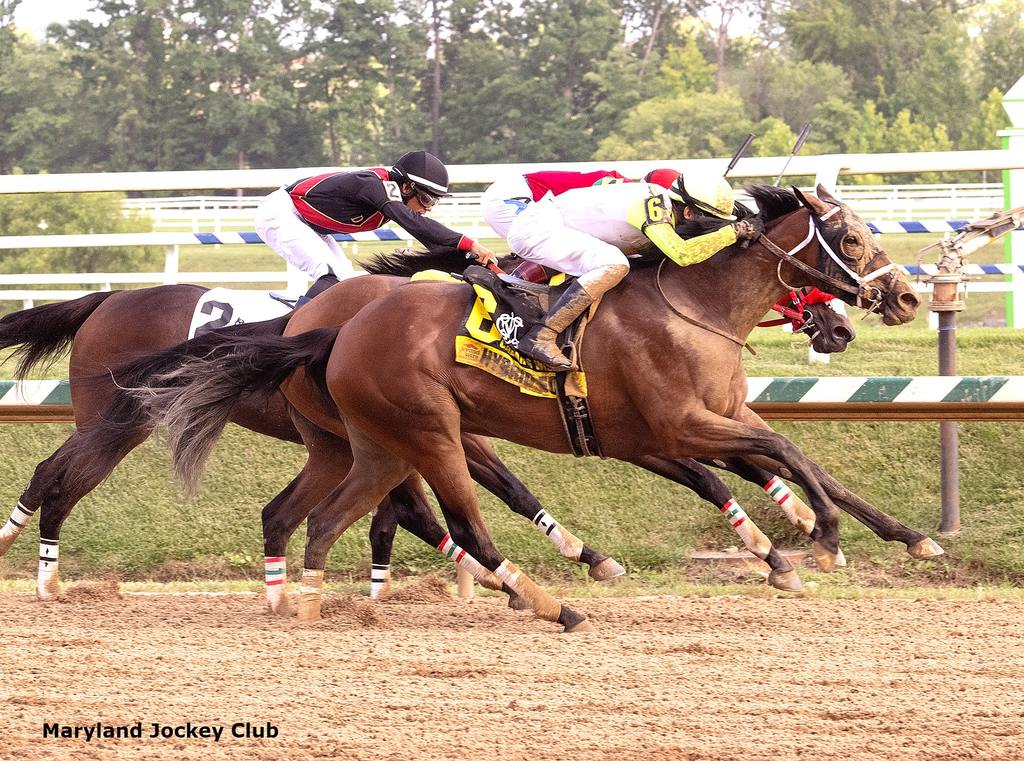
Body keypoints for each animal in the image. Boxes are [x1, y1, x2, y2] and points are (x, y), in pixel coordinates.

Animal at [0, 262, 847, 602]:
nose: (840, 323)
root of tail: (106, 297)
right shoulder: (447, 428)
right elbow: (467, 496)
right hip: (118, 418)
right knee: (55, 476)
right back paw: (37, 569)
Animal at [117, 186, 937, 630]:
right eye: (851, 237)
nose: (903, 297)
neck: (693, 304)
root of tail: (325, 328)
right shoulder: (672, 426)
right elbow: (776, 458)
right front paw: (816, 539)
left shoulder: (705, 420)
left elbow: (794, 461)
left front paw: (892, 536)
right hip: (430, 433)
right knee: (463, 523)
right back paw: (544, 599)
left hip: (368, 443)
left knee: (311, 516)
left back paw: (304, 601)